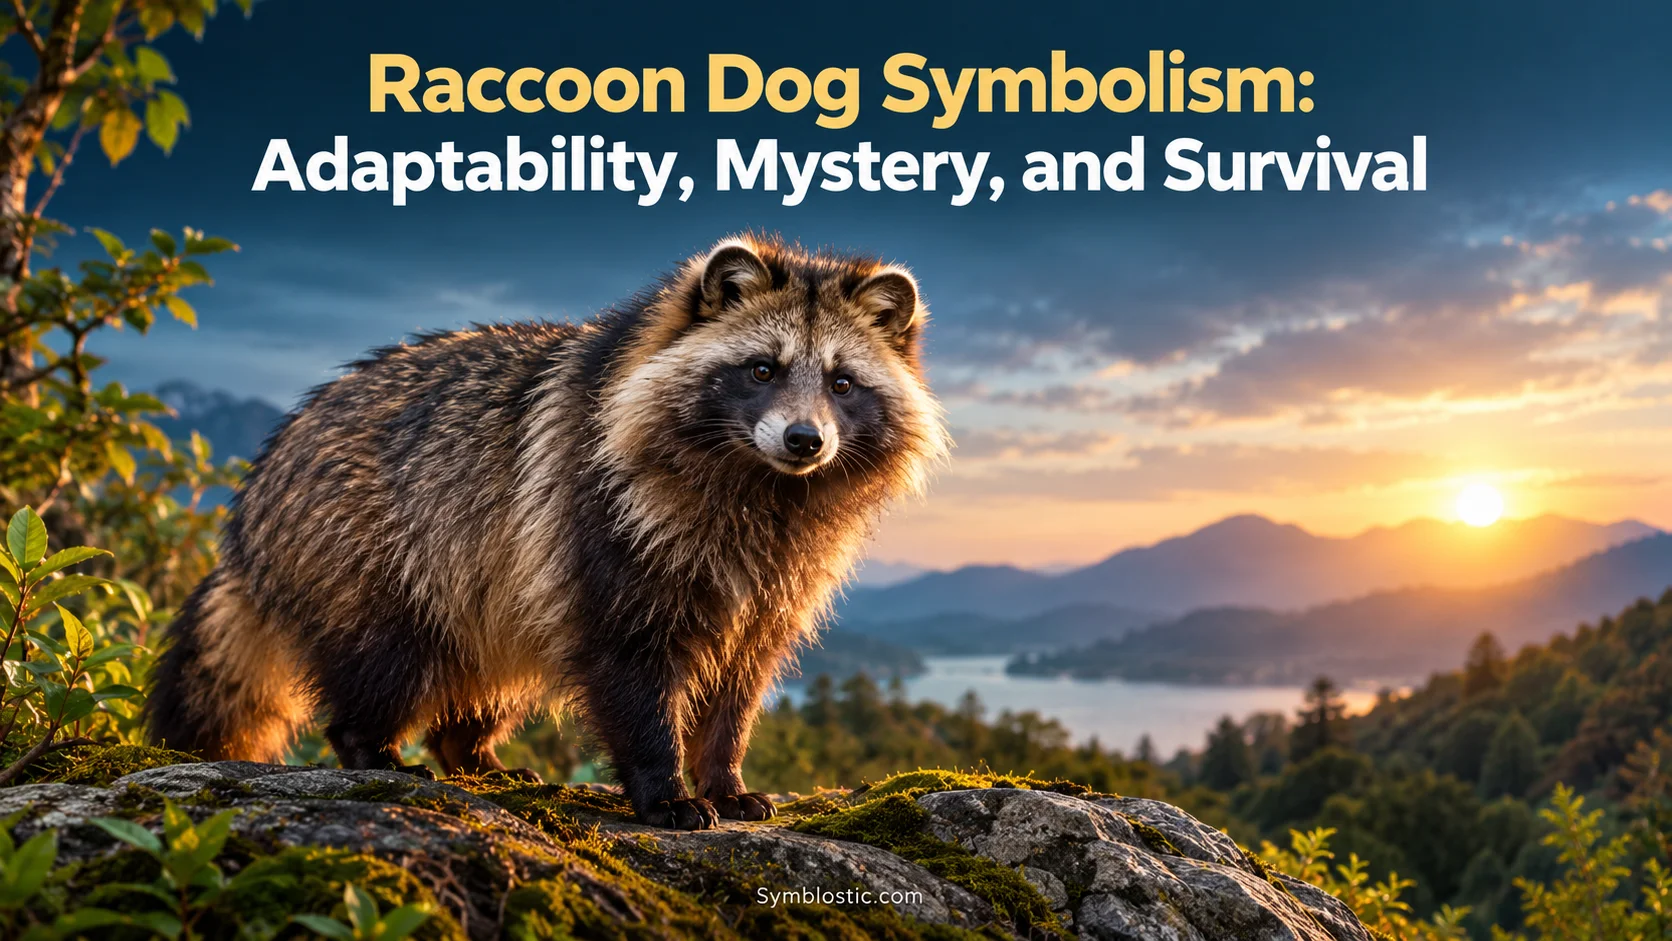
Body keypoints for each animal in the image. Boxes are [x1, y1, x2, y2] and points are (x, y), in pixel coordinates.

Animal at [144, 235, 948, 829]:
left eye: (842, 382)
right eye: (761, 369)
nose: (805, 440)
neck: (765, 484)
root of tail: (254, 501)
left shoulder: (780, 576)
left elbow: (739, 680)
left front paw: (722, 774)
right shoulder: (604, 519)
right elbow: (628, 662)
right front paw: (663, 786)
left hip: (492, 591)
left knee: (488, 674)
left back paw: (470, 750)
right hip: (370, 551)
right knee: (387, 660)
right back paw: (372, 746)